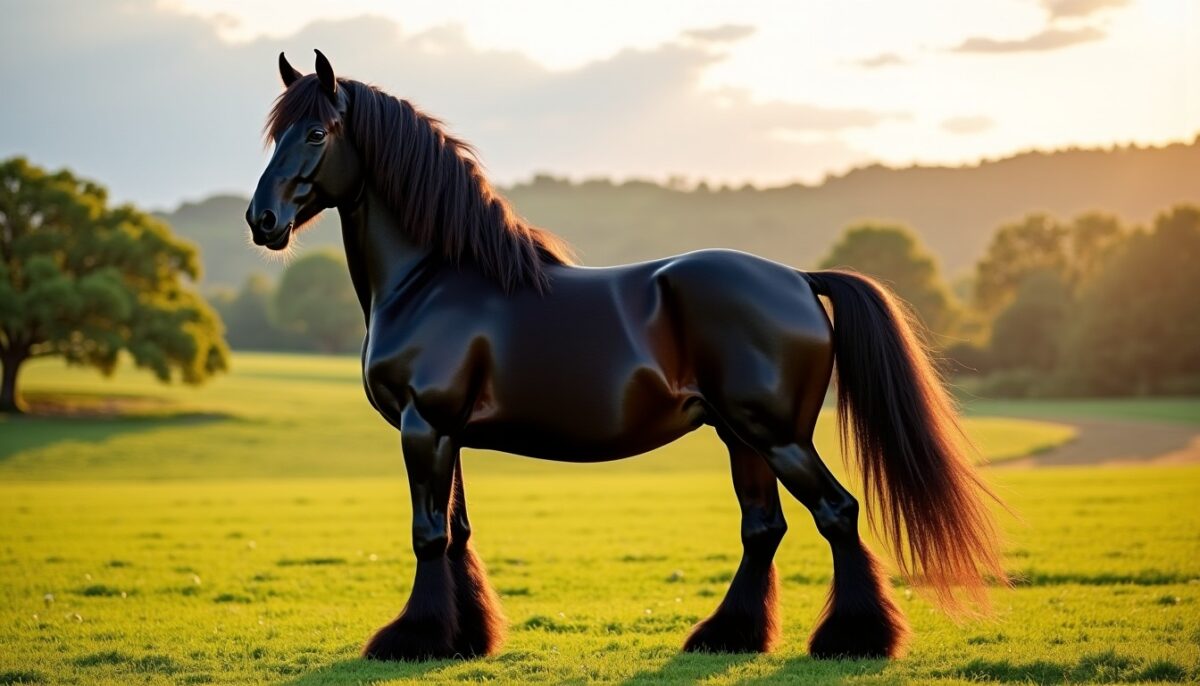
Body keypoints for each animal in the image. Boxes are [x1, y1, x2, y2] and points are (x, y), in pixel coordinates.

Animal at [246, 50, 1005, 662]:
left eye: (316, 132)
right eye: (275, 133)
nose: (262, 221)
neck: (435, 278)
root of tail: (796, 277)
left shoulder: (423, 426)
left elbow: (428, 534)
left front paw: (412, 640)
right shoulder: (445, 432)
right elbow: (457, 531)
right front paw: (464, 640)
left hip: (777, 434)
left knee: (837, 513)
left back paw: (853, 639)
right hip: (741, 436)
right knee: (764, 528)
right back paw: (726, 637)